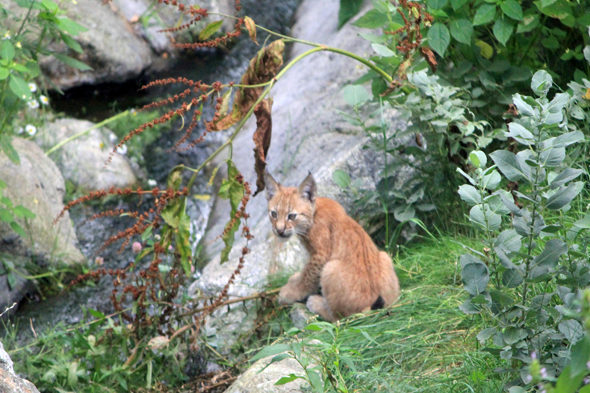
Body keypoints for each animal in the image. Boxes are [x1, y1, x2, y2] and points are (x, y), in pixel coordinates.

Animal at [264, 170, 400, 320]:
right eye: (274, 214)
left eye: (292, 216)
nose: (279, 230)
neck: (314, 212)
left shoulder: (320, 254)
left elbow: (308, 275)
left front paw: (290, 294)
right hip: (385, 256)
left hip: (330, 267)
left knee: (339, 318)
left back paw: (316, 303)